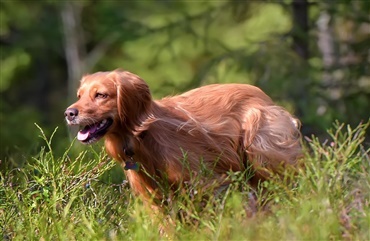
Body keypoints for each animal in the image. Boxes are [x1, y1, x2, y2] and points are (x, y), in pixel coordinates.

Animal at [65, 69, 302, 203]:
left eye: (100, 95)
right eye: (79, 95)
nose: (69, 113)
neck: (143, 138)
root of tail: (264, 96)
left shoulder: (206, 183)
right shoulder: (156, 200)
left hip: (261, 154)